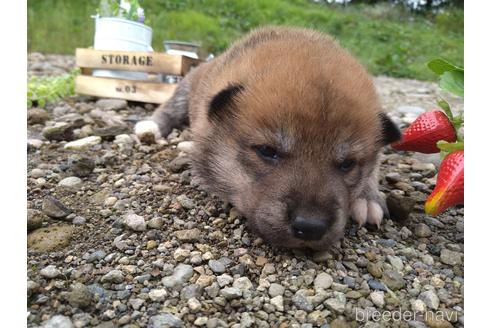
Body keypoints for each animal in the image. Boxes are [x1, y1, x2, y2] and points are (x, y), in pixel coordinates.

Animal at [135, 26, 400, 250]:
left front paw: (367, 197)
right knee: (171, 106)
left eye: (348, 164)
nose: (311, 227)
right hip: (187, 86)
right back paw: (152, 127)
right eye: (267, 151)